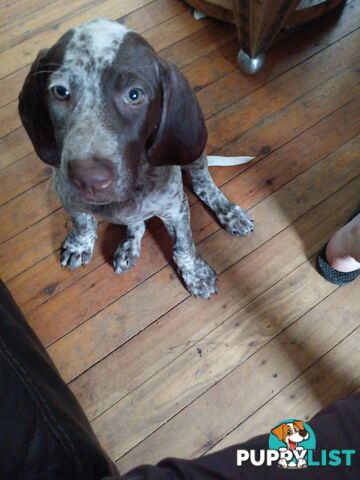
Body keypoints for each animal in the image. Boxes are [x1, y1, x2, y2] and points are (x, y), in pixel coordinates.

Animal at [19, 18, 253, 298]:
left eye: (134, 95)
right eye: (60, 91)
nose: (89, 181)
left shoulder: (175, 209)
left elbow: (183, 246)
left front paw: (195, 273)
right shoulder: (69, 198)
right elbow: (83, 222)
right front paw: (80, 243)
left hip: (193, 156)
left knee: (203, 184)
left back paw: (228, 212)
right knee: (137, 222)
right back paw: (129, 246)